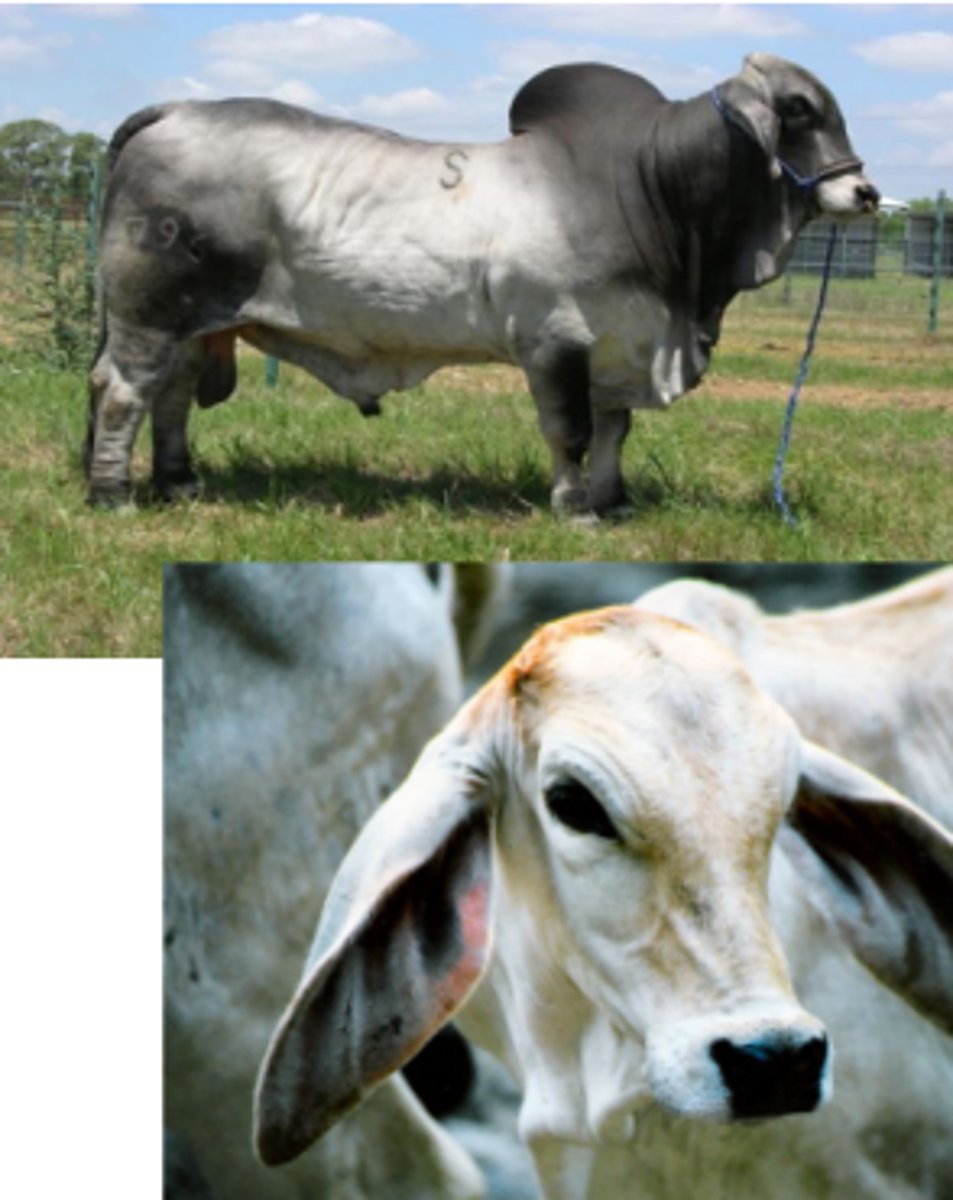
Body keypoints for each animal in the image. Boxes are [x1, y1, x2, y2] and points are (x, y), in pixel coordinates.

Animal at [87, 54, 877, 515]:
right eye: (798, 111)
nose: (864, 192)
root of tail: (173, 110)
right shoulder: (556, 339)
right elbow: (571, 430)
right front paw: (575, 508)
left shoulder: (618, 343)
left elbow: (613, 428)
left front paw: (614, 500)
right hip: (148, 314)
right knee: (123, 391)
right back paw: (112, 494)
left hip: (196, 323)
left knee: (171, 396)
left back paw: (178, 483)